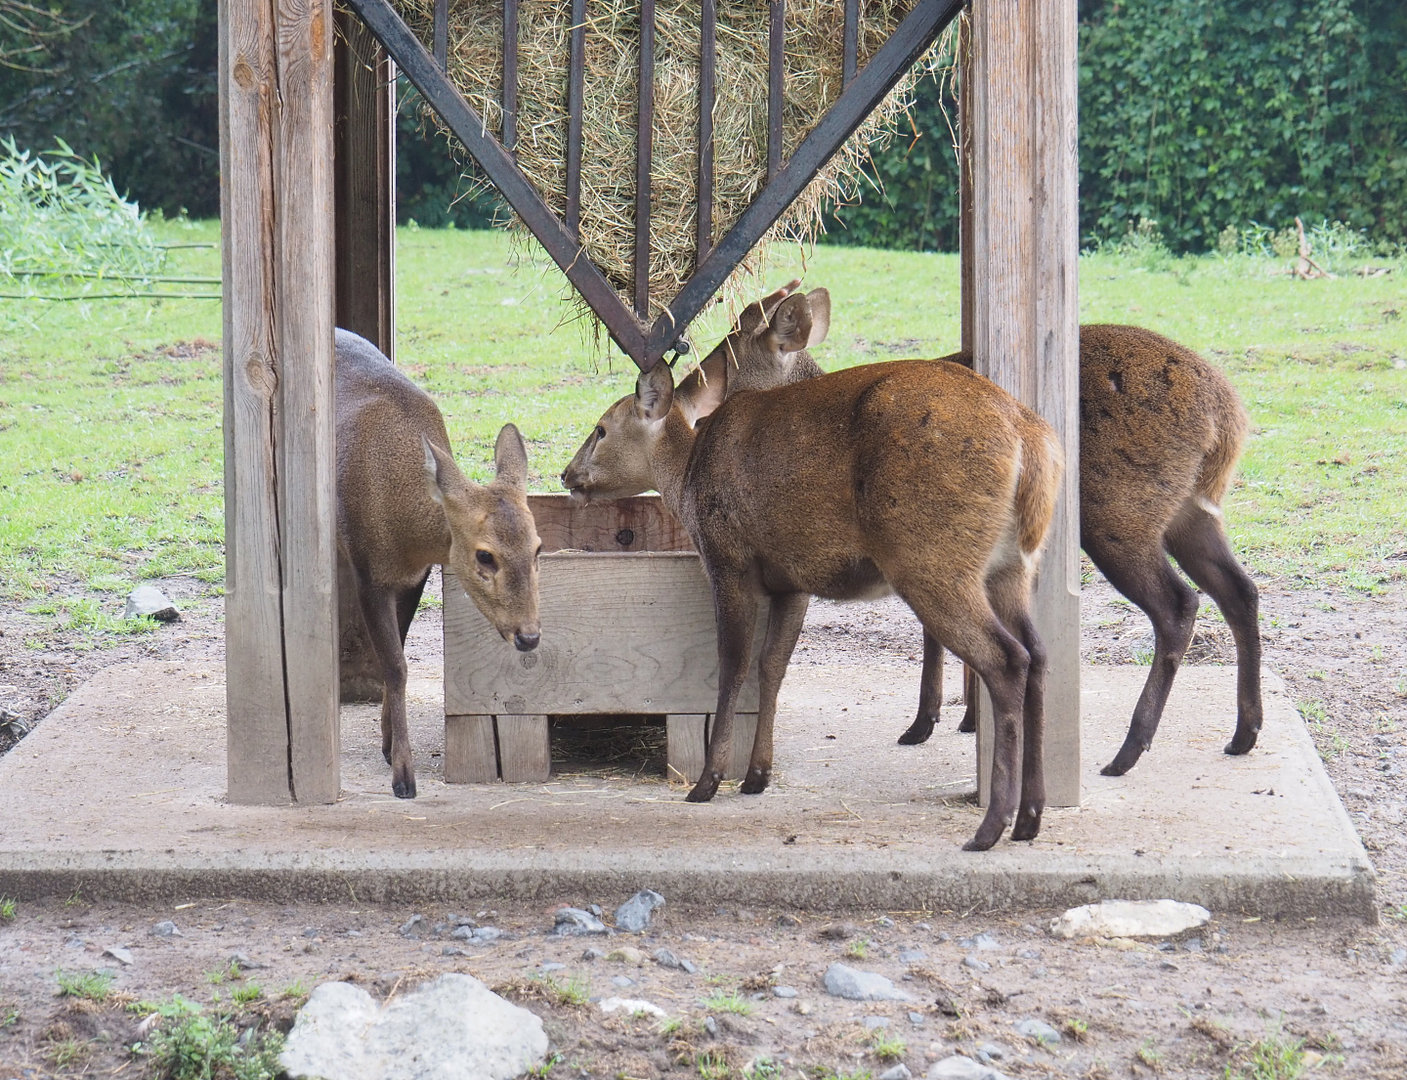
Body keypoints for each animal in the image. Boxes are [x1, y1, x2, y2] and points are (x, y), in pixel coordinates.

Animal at [335, 328, 542, 799]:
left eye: (538, 547)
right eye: (484, 555)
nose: (529, 636)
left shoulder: (415, 576)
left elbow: (399, 651)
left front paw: (388, 743)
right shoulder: (368, 569)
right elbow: (395, 665)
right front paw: (403, 776)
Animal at [561, 289, 1063, 850]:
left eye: (601, 429)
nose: (566, 474)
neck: (687, 479)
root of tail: (1032, 441)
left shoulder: (728, 559)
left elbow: (734, 666)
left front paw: (709, 781)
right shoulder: (792, 582)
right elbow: (773, 666)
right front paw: (757, 776)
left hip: (933, 558)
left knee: (1007, 659)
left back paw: (991, 825)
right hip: (1012, 567)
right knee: (1039, 653)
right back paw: (1030, 816)